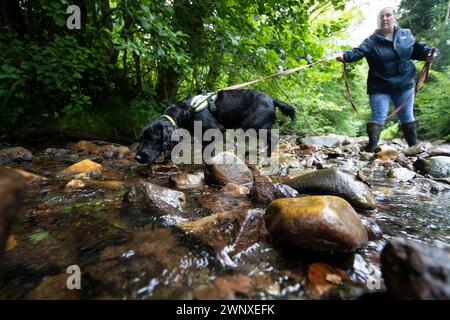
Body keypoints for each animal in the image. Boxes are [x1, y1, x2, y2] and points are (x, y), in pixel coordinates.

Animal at [134, 89, 296, 164]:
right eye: (141, 139)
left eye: (152, 139)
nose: (137, 157)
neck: (186, 111)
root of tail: (272, 99)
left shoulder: (214, 130)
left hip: (254, 125)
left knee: (274, 137)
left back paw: (265, 155)